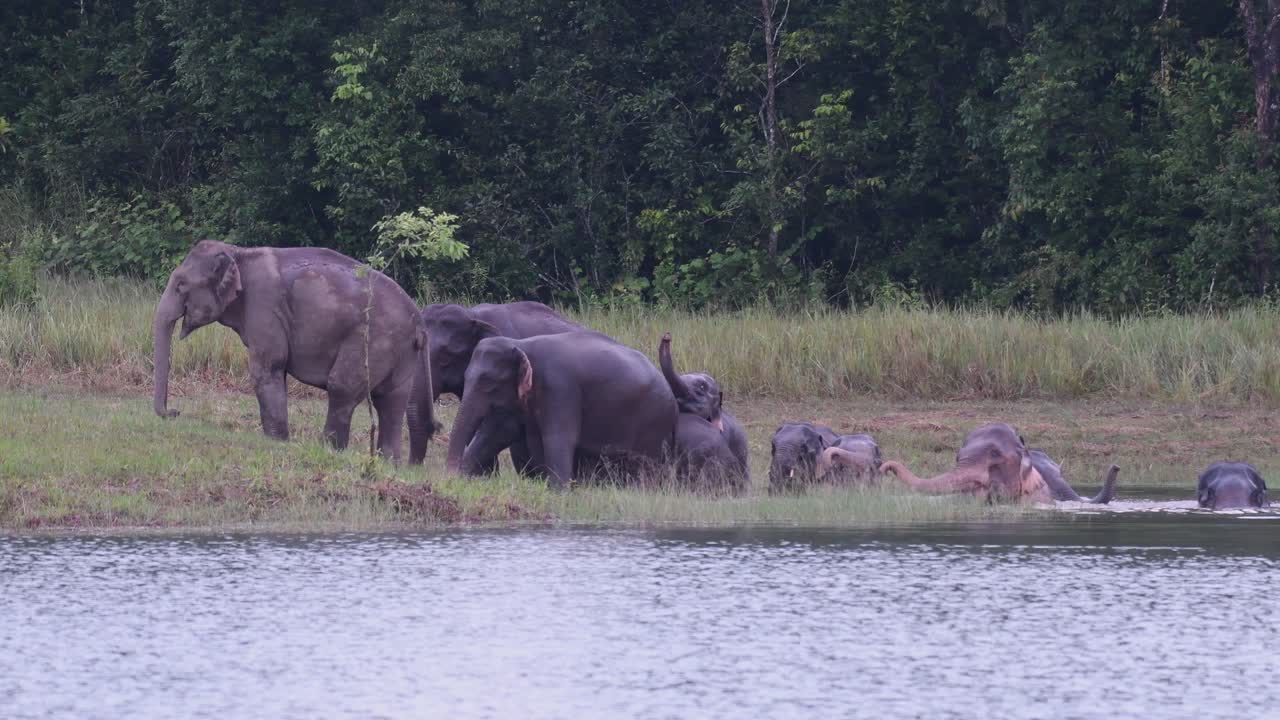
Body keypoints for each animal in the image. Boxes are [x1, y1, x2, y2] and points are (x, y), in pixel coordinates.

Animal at [153, 240, 436, 464]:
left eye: (180, 285)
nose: (174, 412)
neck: (239, 253)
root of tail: (420, 323)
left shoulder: (264, 306)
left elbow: (268, 367)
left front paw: (276, 441)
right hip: (400, 351)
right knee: (391, 402)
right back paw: (389, 463)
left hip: (373, 339)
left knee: (343, 387)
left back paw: (328, 450)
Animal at [445, 331, 677, 488]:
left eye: (488, 383)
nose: (452, 476)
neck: (522, 344)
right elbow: (500, 429)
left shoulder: (560, 388)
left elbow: (558, 438)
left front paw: (558, 491)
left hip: (654, 424)